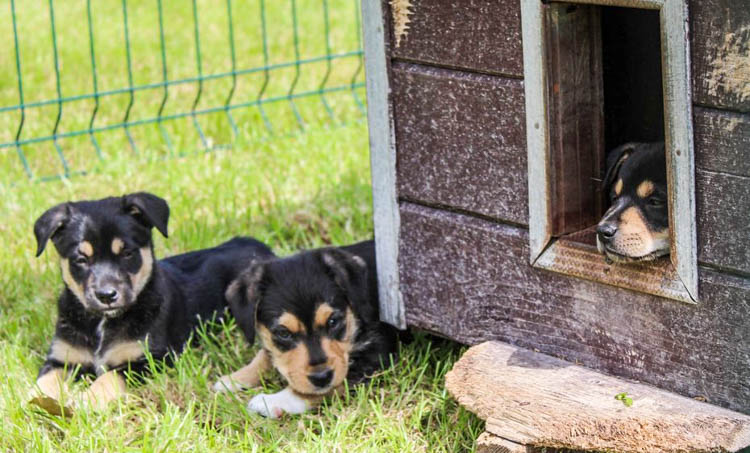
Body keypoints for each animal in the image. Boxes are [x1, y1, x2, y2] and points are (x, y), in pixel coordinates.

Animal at [31, 192, 276, 412]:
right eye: (80, 259)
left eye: (128, 253)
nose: (106, 295)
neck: (102, 323)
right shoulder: (61, 359)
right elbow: (43, 383)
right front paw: (33, 403)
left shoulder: (151, 359)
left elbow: (110, 376)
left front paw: (87, 399)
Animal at [212, 240, 400, 416]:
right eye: (284, 333)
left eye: (333, 321)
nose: (321, 377)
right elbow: (264, 355)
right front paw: (234, 379)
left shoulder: (376, 352)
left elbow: (325, 388)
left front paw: (272, 401)